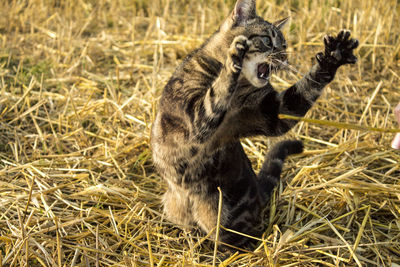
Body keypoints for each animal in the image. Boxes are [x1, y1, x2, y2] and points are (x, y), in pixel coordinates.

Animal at [152, 0, 358, 250]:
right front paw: (234, 57)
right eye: (268, 40)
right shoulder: (193, 117)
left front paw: (333, 58)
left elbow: (307, 87)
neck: (239, 91)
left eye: (284, 45)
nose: (284, 56)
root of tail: (259, 194)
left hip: (223, 220)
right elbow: (217, 91)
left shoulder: (273, 113)